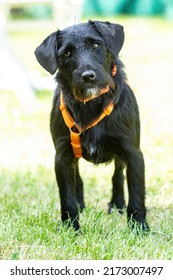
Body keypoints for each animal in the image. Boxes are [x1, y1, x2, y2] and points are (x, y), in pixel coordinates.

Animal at [34, 20, 149, 232]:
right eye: (67, 53)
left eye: (96, 44)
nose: (88, 76)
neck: (91, 104)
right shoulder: (62, 156)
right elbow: (67, 195)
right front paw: (71, 227)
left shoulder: (133, 154)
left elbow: (136, 194)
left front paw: (139, 227)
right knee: (77, 178)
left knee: (118, 175)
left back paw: (117, 205)